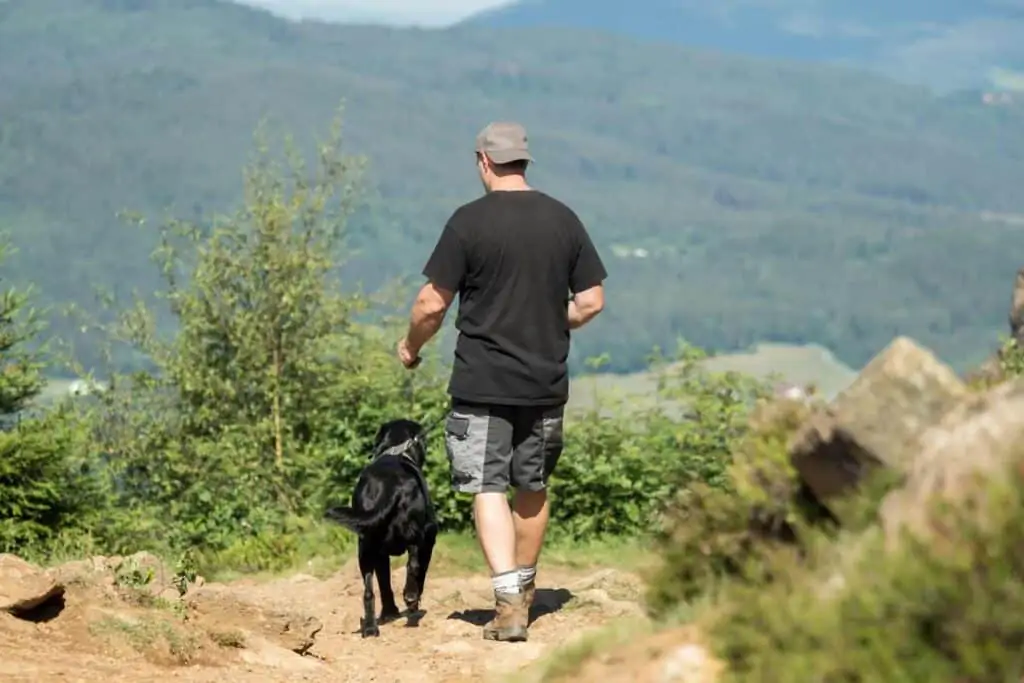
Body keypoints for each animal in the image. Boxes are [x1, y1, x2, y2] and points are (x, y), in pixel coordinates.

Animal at [325, 419, 438, 638]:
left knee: (368, 591)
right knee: (413, 565)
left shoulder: (380, 553)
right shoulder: (429, 536)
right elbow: (420, 569)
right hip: (415, 533)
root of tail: (389, 485)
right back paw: (411, 599)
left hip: (366, 547)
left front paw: (389, 612)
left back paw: (370, 628)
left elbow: (384, 582)